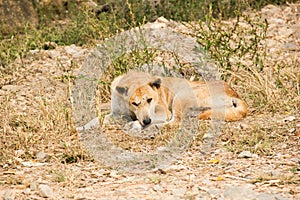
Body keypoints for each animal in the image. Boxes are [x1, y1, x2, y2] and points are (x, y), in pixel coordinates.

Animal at [103, 70, 248, 130]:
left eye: (150, 100)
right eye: (134, 103)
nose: (146, 121)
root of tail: (234, 94)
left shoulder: (163, 111)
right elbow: (104, 118)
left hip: (180, 96)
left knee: (175, 122)